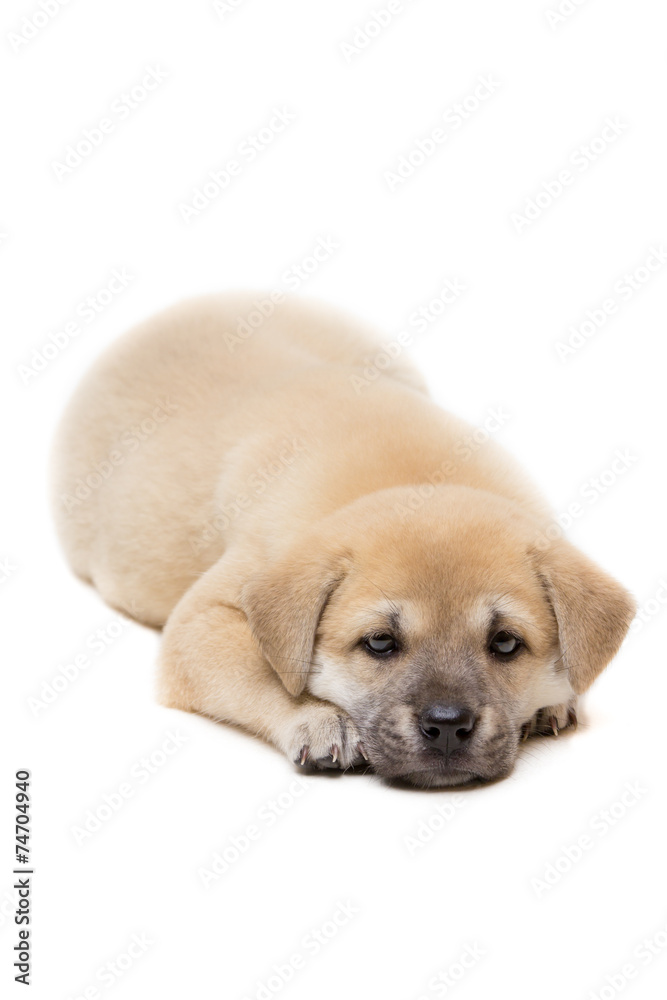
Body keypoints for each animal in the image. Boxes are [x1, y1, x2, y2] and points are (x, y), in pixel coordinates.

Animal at [52, 292, 636, 784]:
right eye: (378, 643)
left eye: (507, 643)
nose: (447, 726)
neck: (412, 479)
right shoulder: (200, 622)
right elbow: (267, 672)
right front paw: (319, 719)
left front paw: (553, 698)